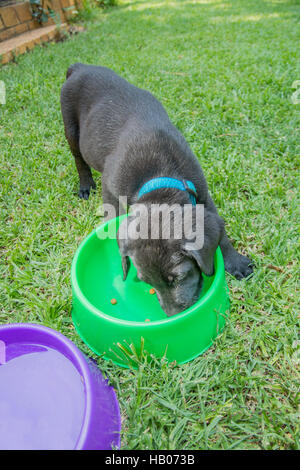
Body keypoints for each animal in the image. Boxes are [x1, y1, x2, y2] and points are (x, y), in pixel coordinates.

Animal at [61, 63, 253, 316]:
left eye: (177, 278)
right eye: (147, 282)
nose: (173, 316)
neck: (158, 175)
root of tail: (79, 67)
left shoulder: (202, 192)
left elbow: (221, 235)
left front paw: (236, 262)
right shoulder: (110, 188)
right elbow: (112, 215)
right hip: (70, 128)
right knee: (79, 159)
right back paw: (85, 185)